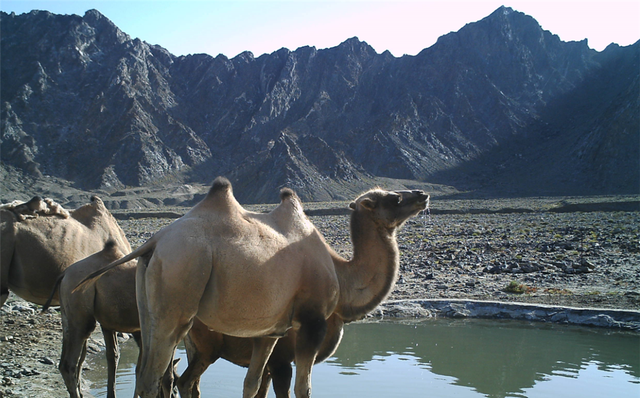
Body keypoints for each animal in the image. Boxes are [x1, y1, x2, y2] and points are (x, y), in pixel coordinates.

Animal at [76, 177, 424, 398]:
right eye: (393, 198)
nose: (422, 195)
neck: (341, 274)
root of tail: (155, 242)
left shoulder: (271, 332)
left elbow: (252, 384)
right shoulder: (311, 321)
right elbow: (303, 389)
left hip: (149, 304)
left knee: (148, 373)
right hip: (180, 285)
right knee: (153, 377)